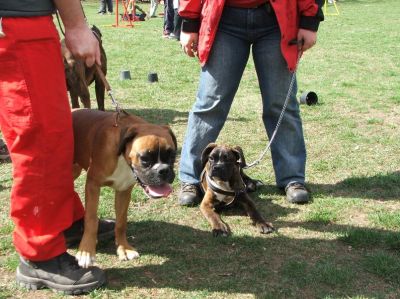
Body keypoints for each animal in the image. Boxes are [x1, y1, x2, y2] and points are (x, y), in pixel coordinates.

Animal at [72, 109, 178, 268]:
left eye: (172, 155)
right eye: (145, 158)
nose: (163, 170)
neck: (122, 156)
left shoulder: (124, 191)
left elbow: (121, 222)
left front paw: (124, 248)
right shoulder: (93, 185)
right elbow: (91, 218)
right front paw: (86, 251)